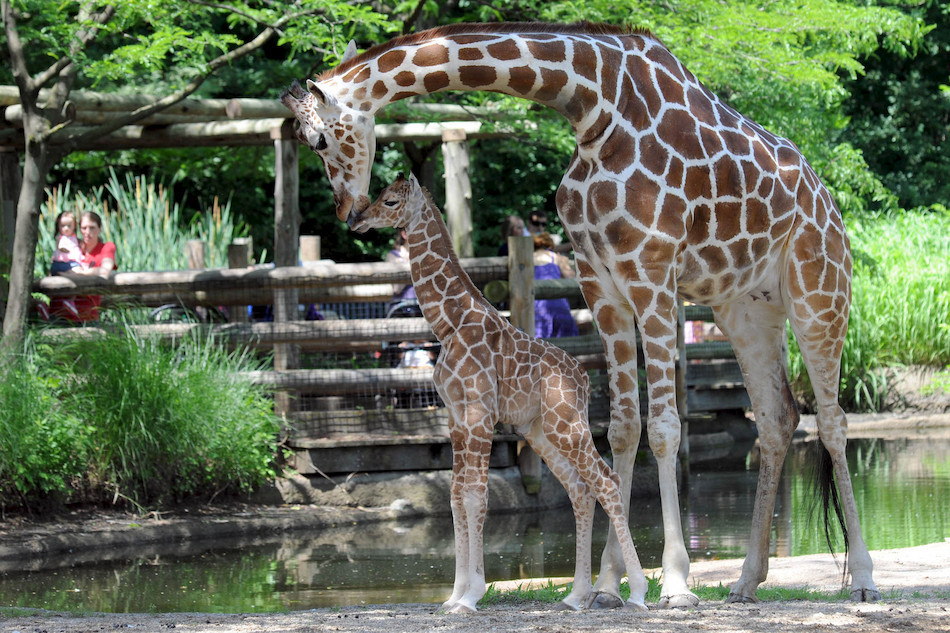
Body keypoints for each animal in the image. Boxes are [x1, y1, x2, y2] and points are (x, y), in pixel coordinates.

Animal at [352, 173, 656, 612]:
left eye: (390, 200)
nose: (356, 219)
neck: (448, 324)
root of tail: (583, 378)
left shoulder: (480, 413)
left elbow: (476, 496)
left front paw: (471, 596)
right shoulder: (456, 417)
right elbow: (455, 495)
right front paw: (454, 595)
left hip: (566, 423)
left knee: (606, 481)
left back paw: (636, 591)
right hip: (540, 431)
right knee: (579, 489)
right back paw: (575, 595)